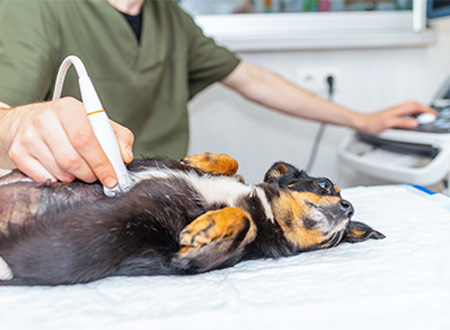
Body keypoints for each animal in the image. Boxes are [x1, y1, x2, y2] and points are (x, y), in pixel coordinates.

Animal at [0, 153, 384, 284]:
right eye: (325, 184)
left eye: (337, 238)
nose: (348, 206)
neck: (263, 208)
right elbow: (231, 163)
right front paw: (202, 159)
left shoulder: (185, 261)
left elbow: (243, 221)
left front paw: (205, 227)